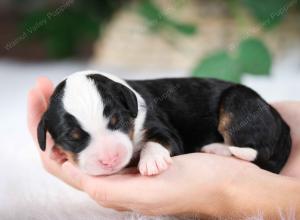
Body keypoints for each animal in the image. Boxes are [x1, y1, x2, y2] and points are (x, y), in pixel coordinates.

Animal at [36, 71, 292, 176]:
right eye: (72, 138)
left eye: (119, 121)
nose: (110, 160)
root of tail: (281, 121)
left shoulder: (161, 127)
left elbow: (158, 140)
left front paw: (152, 162)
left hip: (238, 104)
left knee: (254, 150)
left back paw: (217, 149)